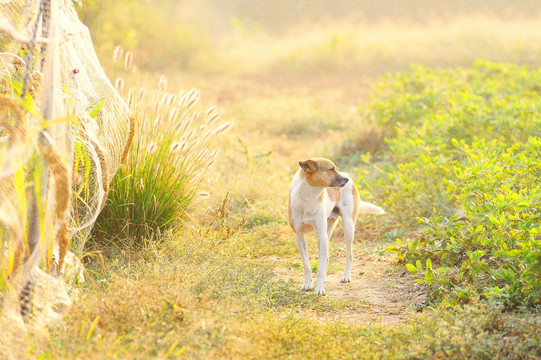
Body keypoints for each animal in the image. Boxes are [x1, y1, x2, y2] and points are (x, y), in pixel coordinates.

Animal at [286, 158, 384, 296]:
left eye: (335, 168)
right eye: (331, 169)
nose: (347, 179)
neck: (308, 197)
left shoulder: (321, 235)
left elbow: (320, 268)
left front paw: (319, 288)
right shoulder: (300, 237)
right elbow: (307, 266)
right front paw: (308, 284)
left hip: (347, 228)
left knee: (349, 255)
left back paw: (346, 276)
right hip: (327, 233)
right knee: (326, 258)